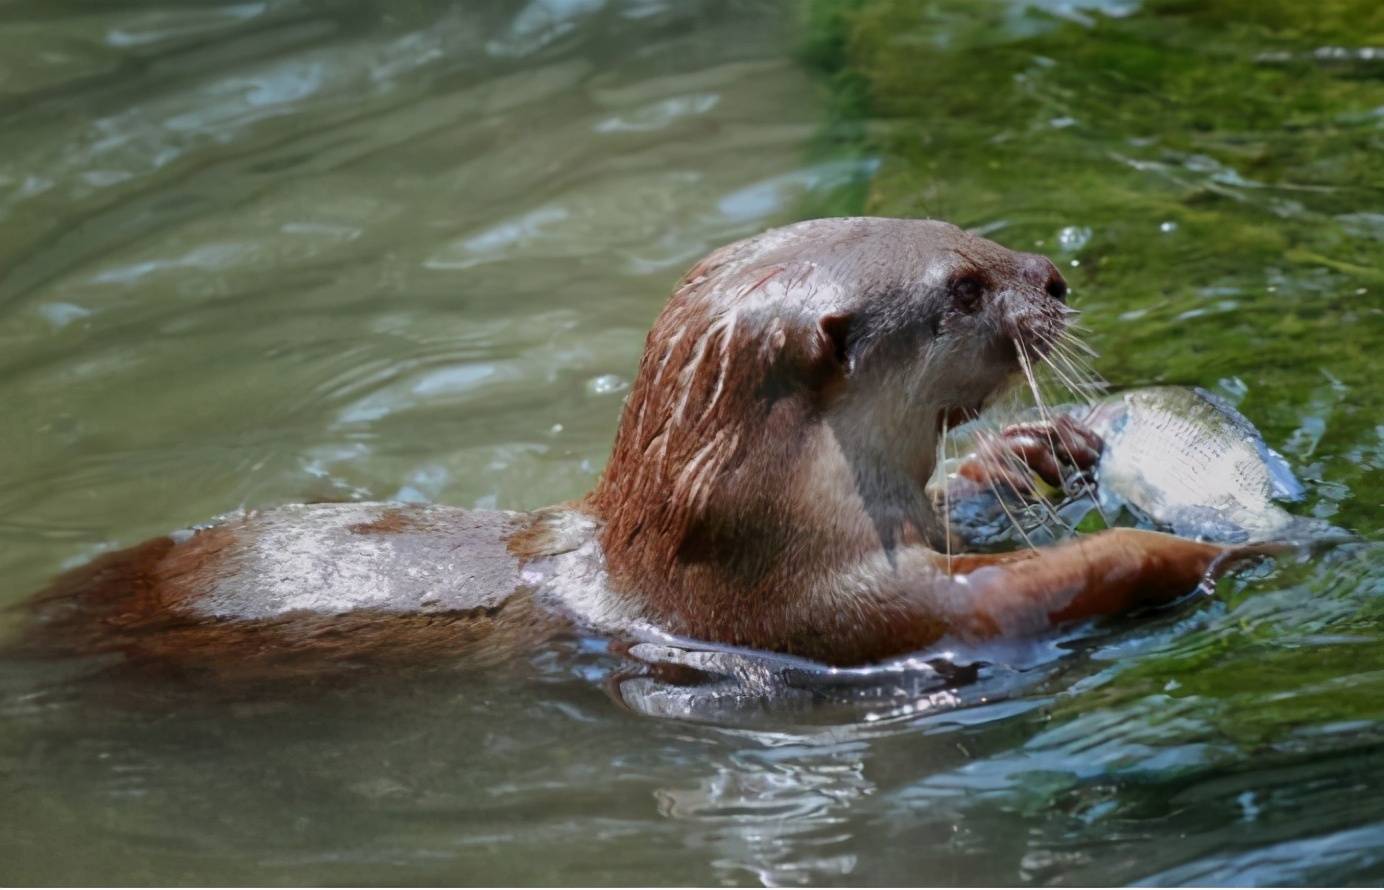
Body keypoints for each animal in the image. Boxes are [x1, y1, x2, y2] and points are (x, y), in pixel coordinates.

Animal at [16, 218, 1256, 678]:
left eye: (961, 227)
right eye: (959, 284)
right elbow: (1025, 592)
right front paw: (1202, 553)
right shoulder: (828, 611)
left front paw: (1039, 449)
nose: (1052, 277)